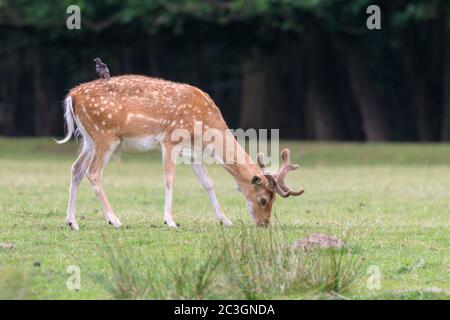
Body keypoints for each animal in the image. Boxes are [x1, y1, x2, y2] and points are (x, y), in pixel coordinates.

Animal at [55, 75, 302, 230]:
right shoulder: (169, 140)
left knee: (76, 169)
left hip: (89, 140)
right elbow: (169, 179)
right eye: (263, 200)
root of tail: (71, 96)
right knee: (93, 173)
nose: (264, 224)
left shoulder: (193, 153)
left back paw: (72, 222)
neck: (206, 129)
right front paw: (170, 221)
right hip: (105, 136)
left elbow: (207, 183)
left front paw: (225, 220)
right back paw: (114, 220)